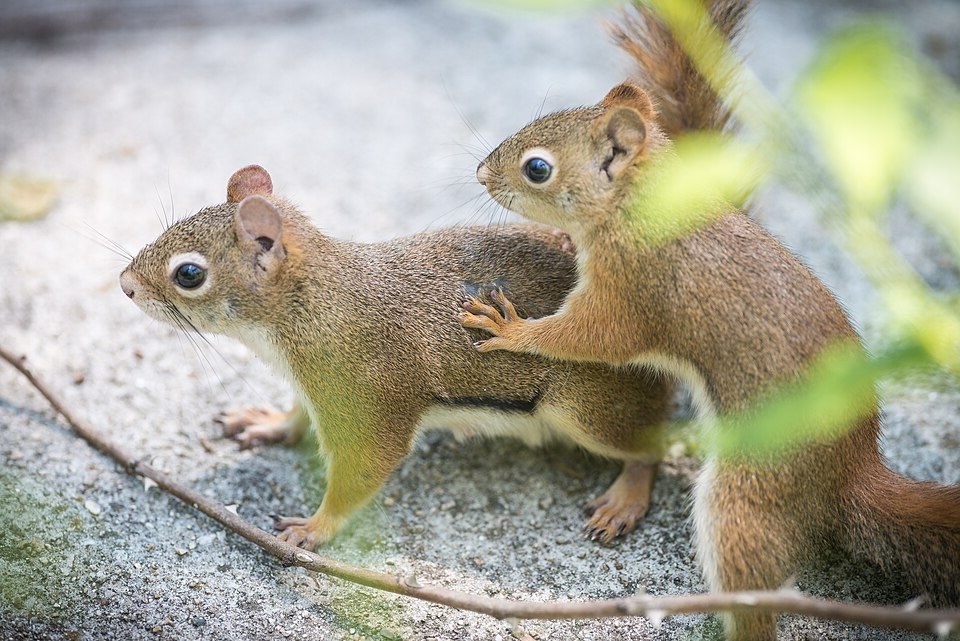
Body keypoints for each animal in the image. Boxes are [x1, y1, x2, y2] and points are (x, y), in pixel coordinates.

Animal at [118, 164, 673, 549]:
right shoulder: (312, 386)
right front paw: (269, 422)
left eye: (189, 274)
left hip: (587, 407)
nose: (124, 285)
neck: (306, 306)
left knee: (650, 447)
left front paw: (315, 527)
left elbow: (363, 467)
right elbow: (297, 415)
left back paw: (624, 499)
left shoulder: (367, 393)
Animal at [459, 0, 960, 639]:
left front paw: (511, 328)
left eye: (538, 169)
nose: (479, 173)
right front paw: (560, 242)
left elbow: (592, 337)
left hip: (746, 494)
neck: (642, 205)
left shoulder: (634, 289)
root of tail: (850, 472)